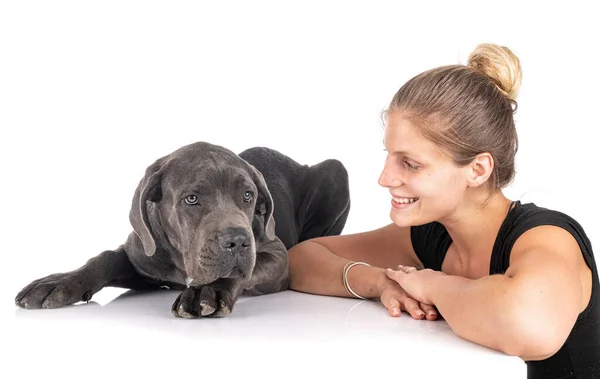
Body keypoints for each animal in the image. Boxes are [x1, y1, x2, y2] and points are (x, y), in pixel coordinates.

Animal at [14, 142, 350, 318]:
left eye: (248, 196)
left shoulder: (276, 255)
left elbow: (242, 273)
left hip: (336, 169)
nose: (239, 241)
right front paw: (58, 282)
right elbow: (105, 257)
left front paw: (208, 291)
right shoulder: (142, 258)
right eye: (192, 199)